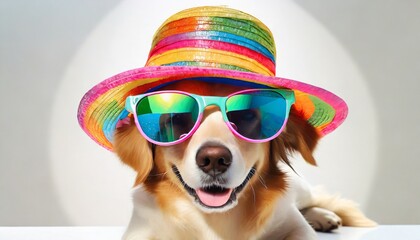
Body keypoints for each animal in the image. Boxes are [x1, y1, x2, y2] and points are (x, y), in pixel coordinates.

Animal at [111, 79, 374, 239]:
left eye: (245, 115)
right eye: (177, 118)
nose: (214, 159)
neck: (217, 220)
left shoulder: (296, 228)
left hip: (300, 190)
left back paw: (324, 216)